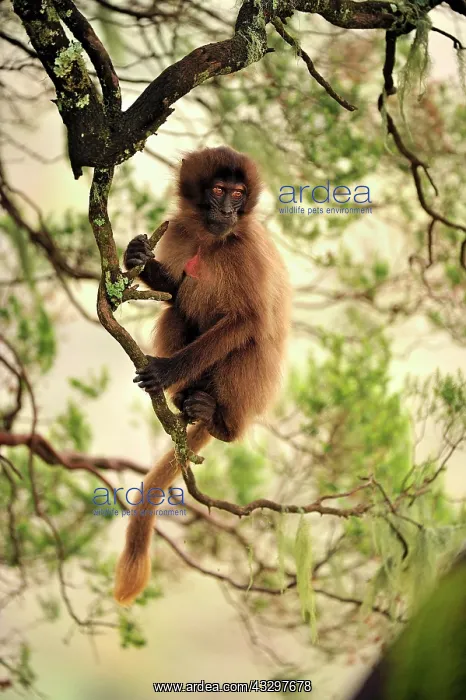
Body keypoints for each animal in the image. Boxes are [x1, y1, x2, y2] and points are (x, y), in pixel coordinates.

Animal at [114, 146, 291, 605]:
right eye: (218, 190)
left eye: (238, 193)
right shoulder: (179, 231)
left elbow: (246, 321)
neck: (213, 240)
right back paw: (186, 401)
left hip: (248, 389)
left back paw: (216, 418)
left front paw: (164, 370)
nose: (227, 210)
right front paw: (138, 258)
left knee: (251, 339)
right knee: (178, 309)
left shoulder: (246, 248)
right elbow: (174, 292)